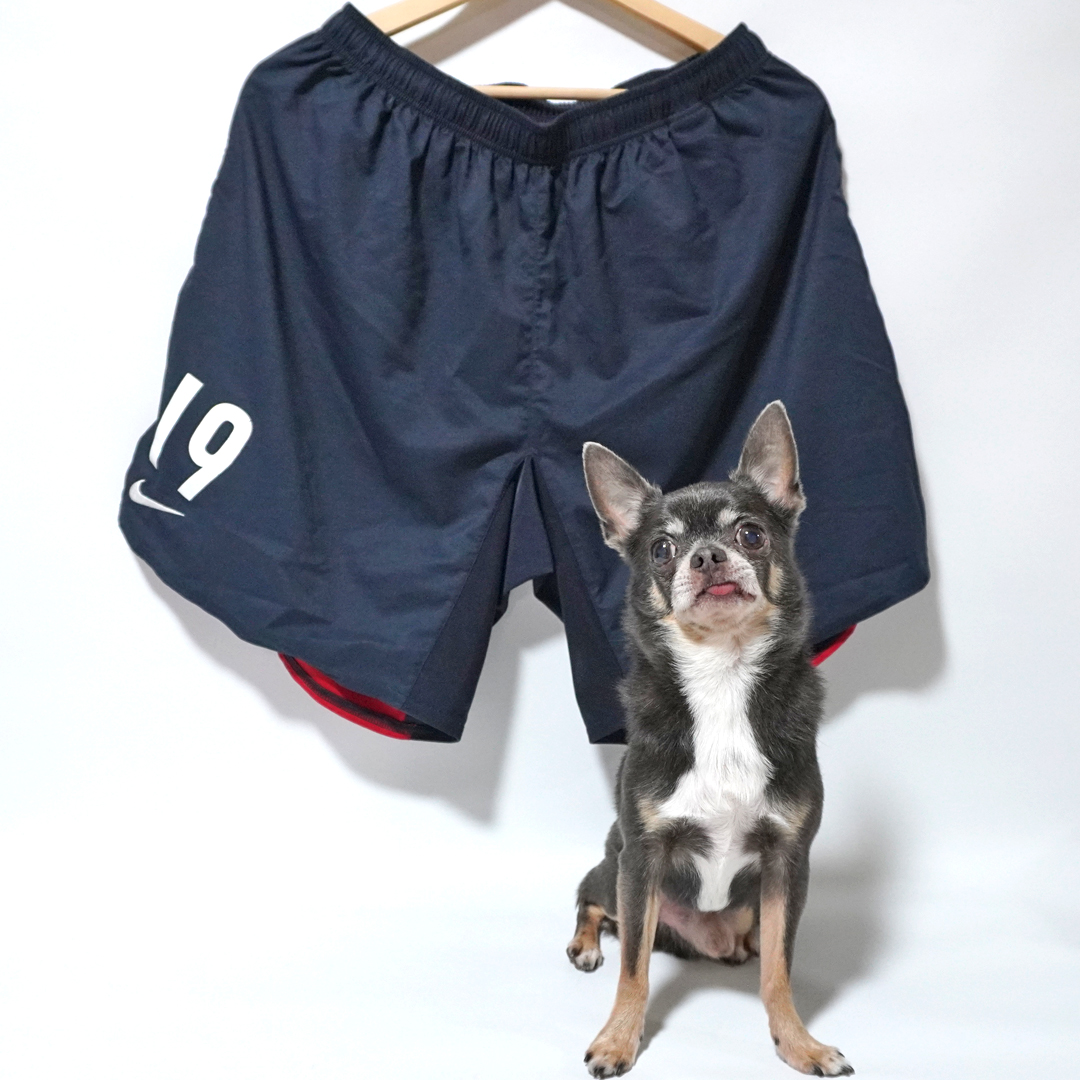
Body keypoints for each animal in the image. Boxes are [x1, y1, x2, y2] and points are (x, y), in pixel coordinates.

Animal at [568, 402, 853, 1078]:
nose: (706, 557)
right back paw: (585, 946)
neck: (723, 678)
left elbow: (779, 970)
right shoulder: (641, 859)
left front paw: (798, 1043)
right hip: (614, 871)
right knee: (591, 903)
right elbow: (634, 971)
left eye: (750, 534)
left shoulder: (786, 865)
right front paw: (618, 1039)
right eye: (662, 549)